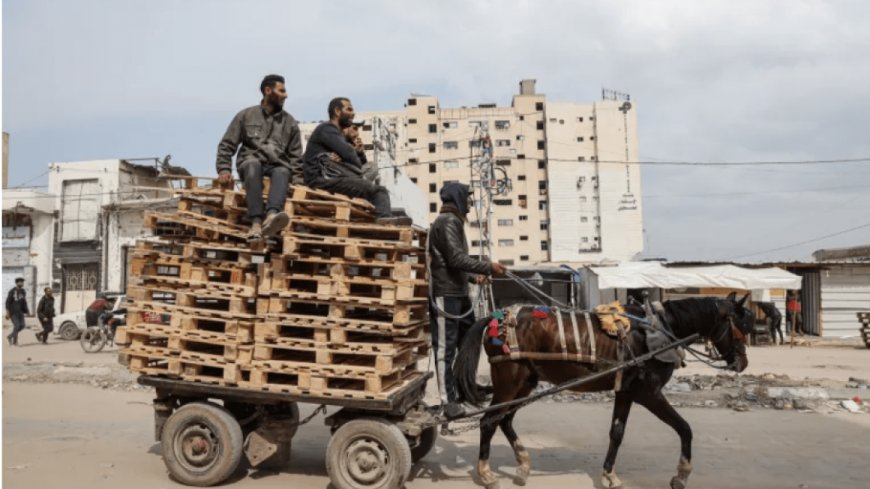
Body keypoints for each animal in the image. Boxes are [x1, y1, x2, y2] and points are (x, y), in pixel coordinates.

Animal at [454, 292, 752, 488]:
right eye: (741, 327)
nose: (743, 363)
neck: (660, 329)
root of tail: (495, 318)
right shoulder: (648, 393)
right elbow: (684, 428)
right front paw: (681, 474)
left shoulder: (626, 392)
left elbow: (616, 433)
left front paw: (609, 474)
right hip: (510, 381)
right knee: (488, 421)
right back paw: (486, 473)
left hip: (526, 382)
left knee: (504, 420)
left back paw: (523, 465)